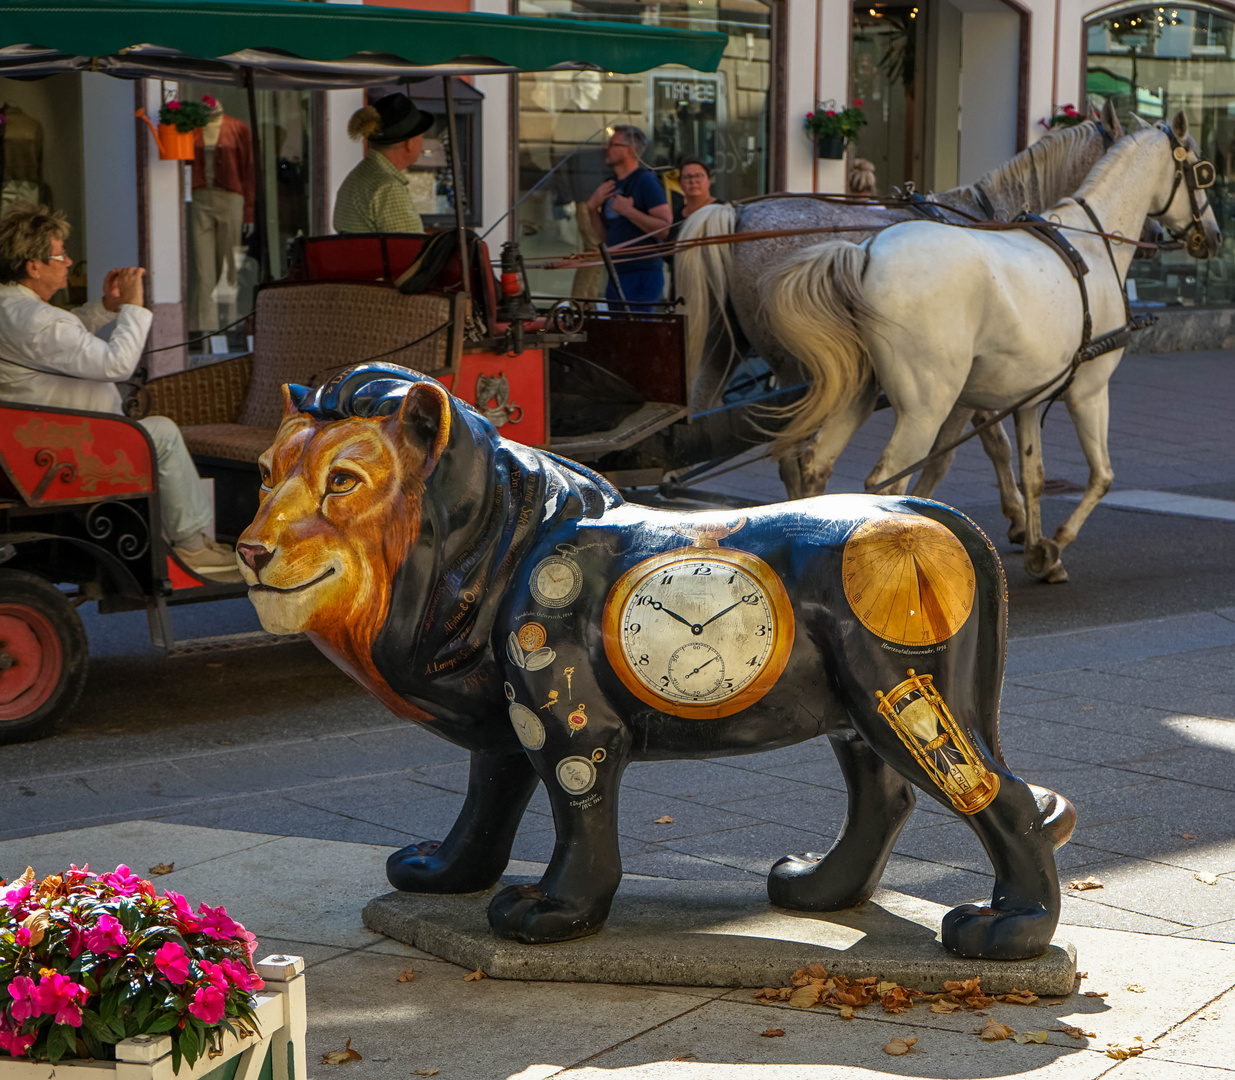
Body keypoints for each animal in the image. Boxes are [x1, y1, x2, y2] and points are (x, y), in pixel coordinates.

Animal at [765, 112, 1220, 580]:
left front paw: (1038, 550)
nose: (1215, 237)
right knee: (886, 482)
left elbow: (1033, 475)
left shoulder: (1028, 399)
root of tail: (868, 252)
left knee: (815, 465)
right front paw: (1055, 543)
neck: (1092, 244)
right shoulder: (1089, 391)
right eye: (1202, 171)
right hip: (926, 408)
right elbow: (1101, 476)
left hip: (861, 392)